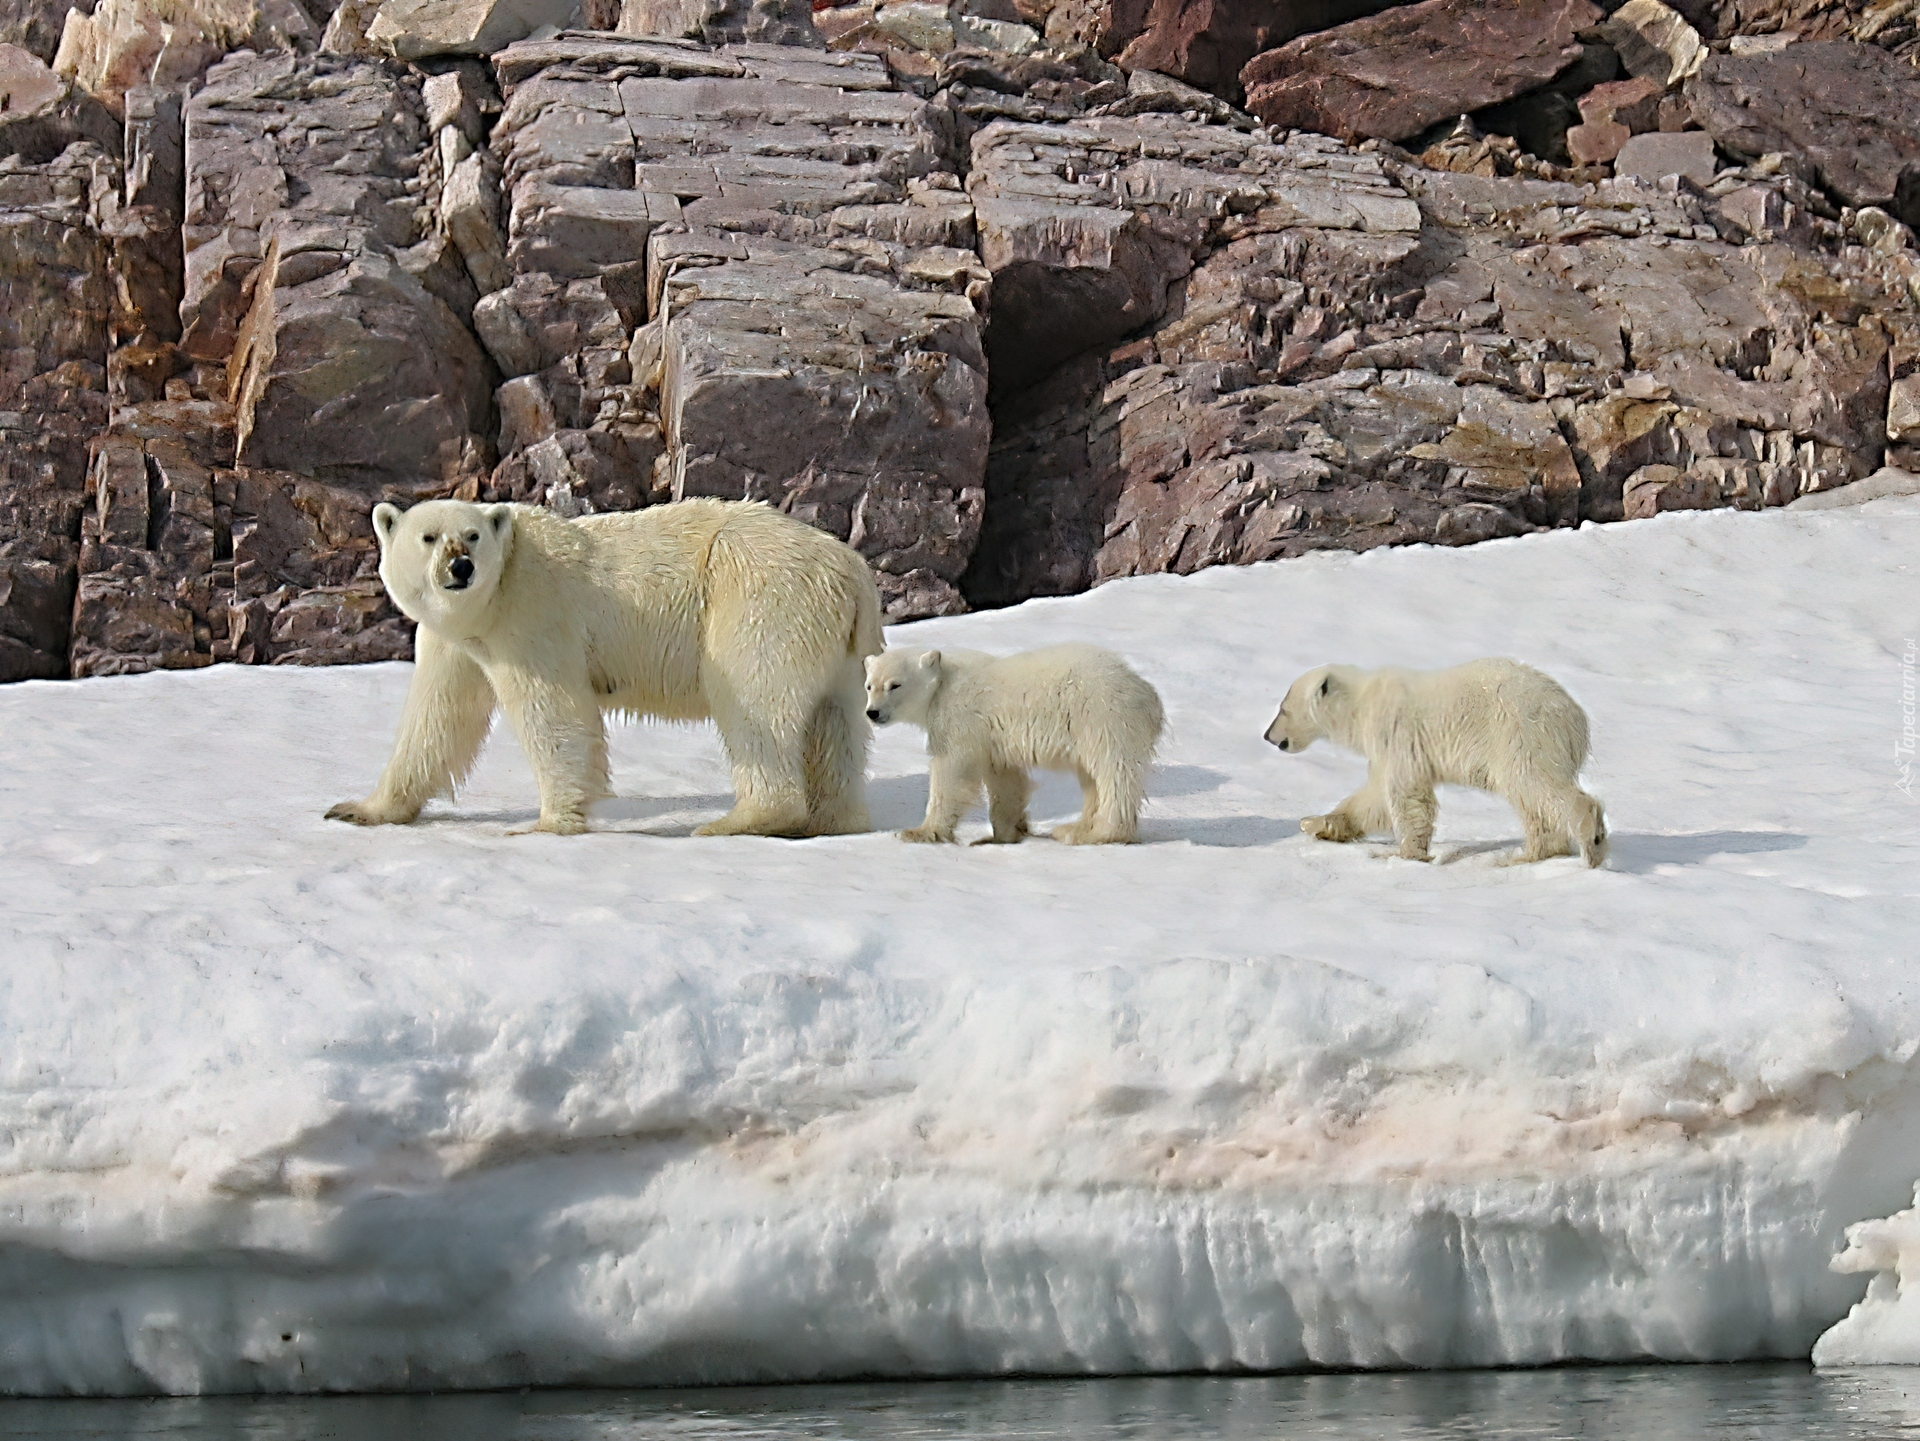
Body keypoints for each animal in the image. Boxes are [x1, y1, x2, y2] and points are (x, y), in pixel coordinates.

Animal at [328, 498, 883, 840]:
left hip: (759, 595)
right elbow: (439, 718)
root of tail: (854, 570)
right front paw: (358, 809)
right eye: (428, 537)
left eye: (472, 535)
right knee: (835, 725)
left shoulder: (532, 613)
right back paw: (833, 820)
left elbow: (554, 711)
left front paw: (545, 823)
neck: (491, 601)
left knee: (756, 700)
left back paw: (739, 820)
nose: (460, 567)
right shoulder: (455, 641)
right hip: (835, 644)